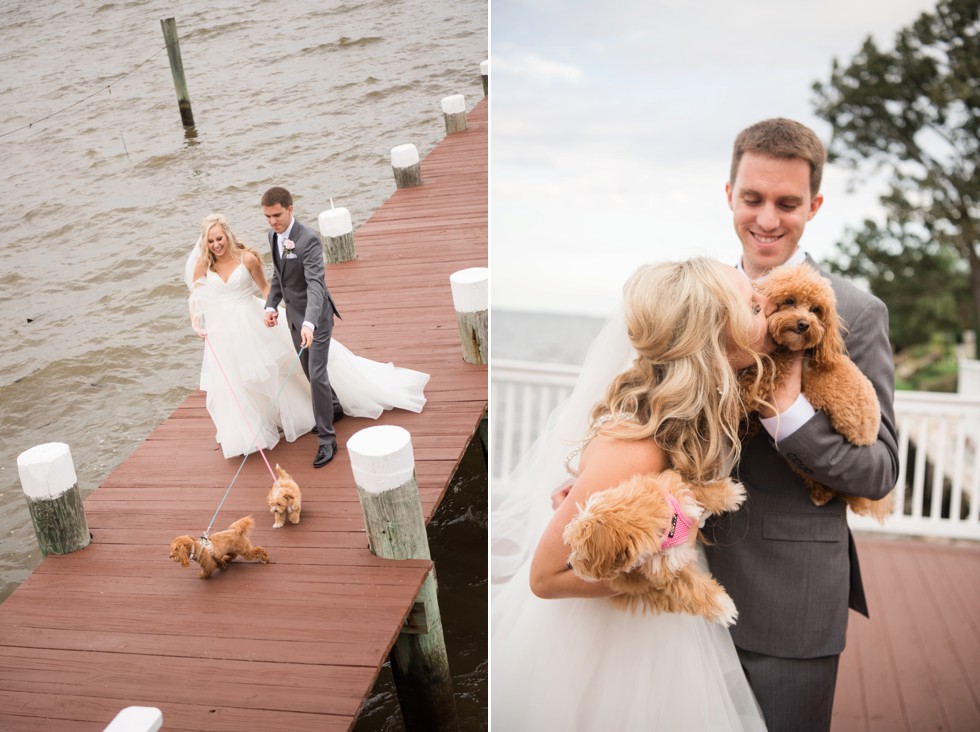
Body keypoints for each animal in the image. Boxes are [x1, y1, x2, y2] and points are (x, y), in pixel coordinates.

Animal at [564, 472, 748, 628]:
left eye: (582, 554)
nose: (569, 565)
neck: (670, 528)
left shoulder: (678, 494)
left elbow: (696, 491)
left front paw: (728, 493)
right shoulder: (664, 570)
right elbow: (693, 587)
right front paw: (722, 607)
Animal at [744, 264, 896, 520]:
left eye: (816, 310)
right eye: (789, 301)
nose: (804, 324)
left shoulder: (771, 373)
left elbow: (745, 387)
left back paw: (821, 495)